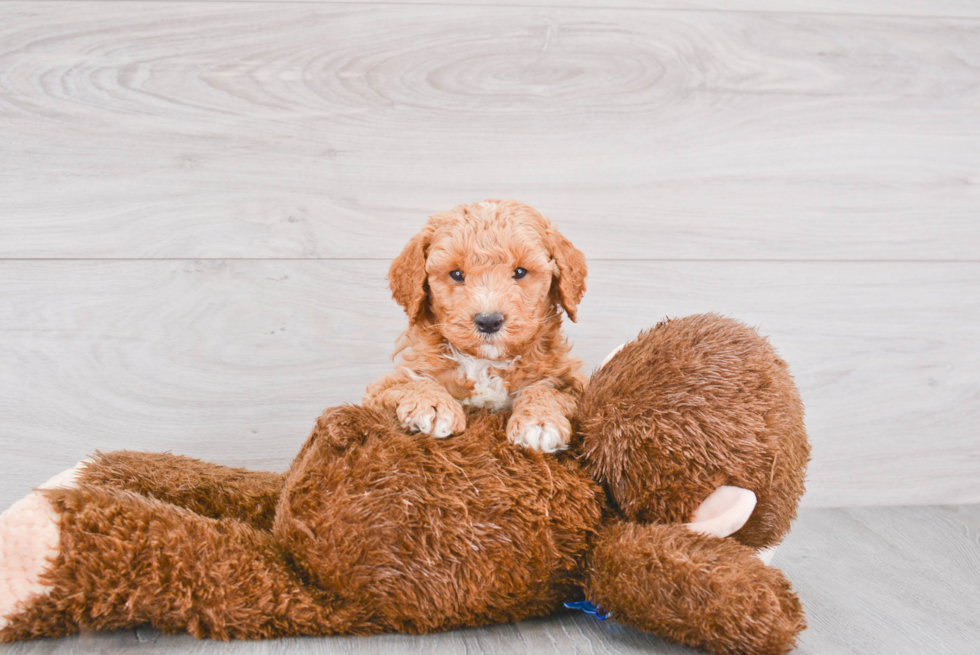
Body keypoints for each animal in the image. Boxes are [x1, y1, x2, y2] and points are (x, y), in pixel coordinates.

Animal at [364, 200, 584, 454]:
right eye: (457, 274)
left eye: (520, 272)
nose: (489, 321)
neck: (485, 362)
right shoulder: (379, 390)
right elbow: (410, 382)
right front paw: (433, 406)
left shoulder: (571, 380)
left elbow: (549, 388)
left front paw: (539, 421)